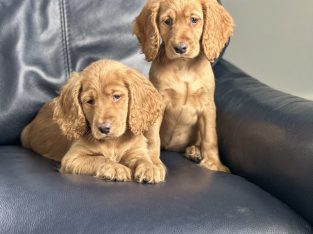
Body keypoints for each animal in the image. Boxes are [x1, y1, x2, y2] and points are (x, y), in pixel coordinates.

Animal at [21, 59, 166, 184]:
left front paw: (150, 168)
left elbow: (142, 159)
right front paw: (116, 167)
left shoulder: (135, 151)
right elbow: (100, 159)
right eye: (90, 101)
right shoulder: (73, 158)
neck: (113, 142)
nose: (104, 129)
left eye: (116, 97)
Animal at [133, 0, 233, 172]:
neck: (183, 66)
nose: (180, 48)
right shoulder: (159, 102)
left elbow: (210, 136)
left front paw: (213, 163)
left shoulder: (207, 105)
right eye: (167, 21)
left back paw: (195, 151)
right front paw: (152, 163)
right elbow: (153, 137)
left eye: (194, 20)